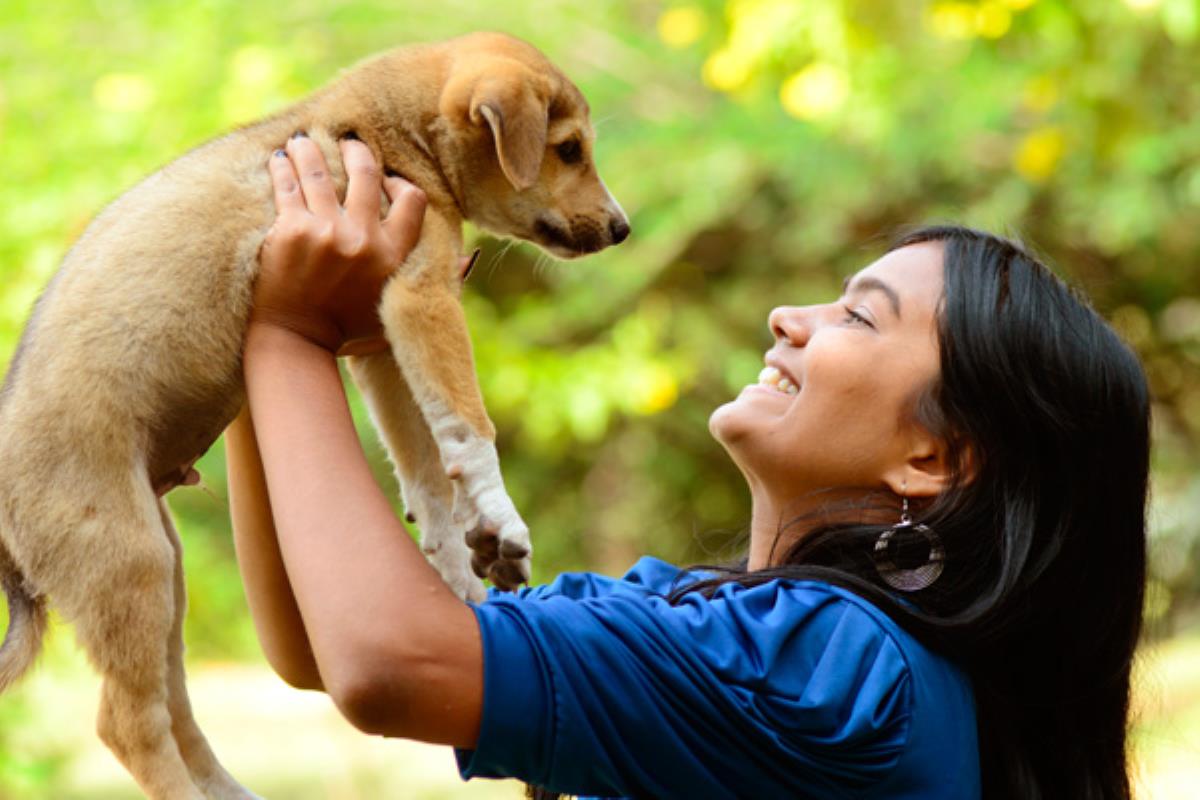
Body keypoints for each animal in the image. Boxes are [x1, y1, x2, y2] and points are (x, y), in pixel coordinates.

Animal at [0, 31, 633, 800]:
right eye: (568, 149)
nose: (622, 228)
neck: (386, 135)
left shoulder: (379, 341)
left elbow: (427, 467)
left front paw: (457, 570)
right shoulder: (421, 299)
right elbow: (469, 428)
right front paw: (500, 520)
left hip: (161, 574)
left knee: (173, 711)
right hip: (128, 563)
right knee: (128, 725)